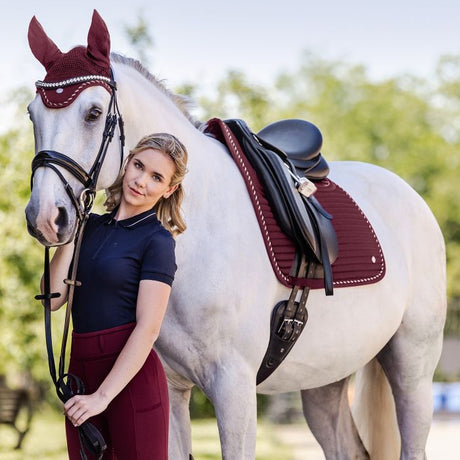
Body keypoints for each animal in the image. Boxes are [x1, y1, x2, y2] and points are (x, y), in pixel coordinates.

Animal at [25, 11, 446, 460]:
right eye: (33, 115)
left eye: (93, 112)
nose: (45, 217)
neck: (193, 238)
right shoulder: (169, 388)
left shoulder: (234, 388)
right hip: (326, 380)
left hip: (413, 369)